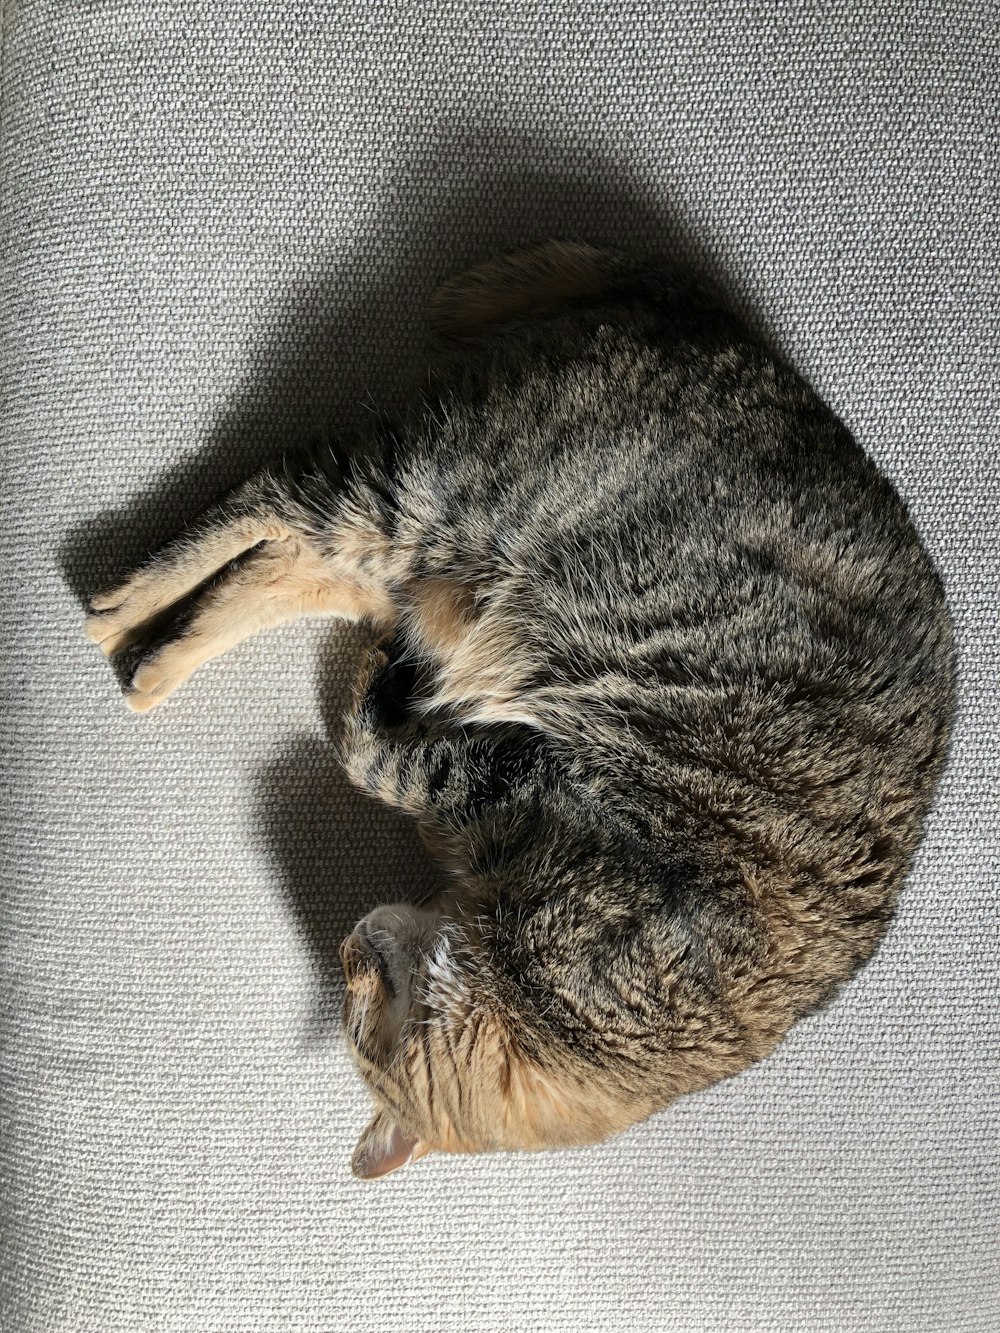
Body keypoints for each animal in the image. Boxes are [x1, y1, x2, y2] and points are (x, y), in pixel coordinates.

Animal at [84, 239, 954, 1178]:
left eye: (356, 1020)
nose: (348, 948)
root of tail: (704, 317)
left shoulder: (508, 776)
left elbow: (367, 747)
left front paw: (382, 682)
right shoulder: (523, 773)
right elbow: (370, 747)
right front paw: (380, 687)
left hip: (419, 548)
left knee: (281, 562)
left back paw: (159, 658)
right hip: (433, 497)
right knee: (269, 494)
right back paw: (119, 610)